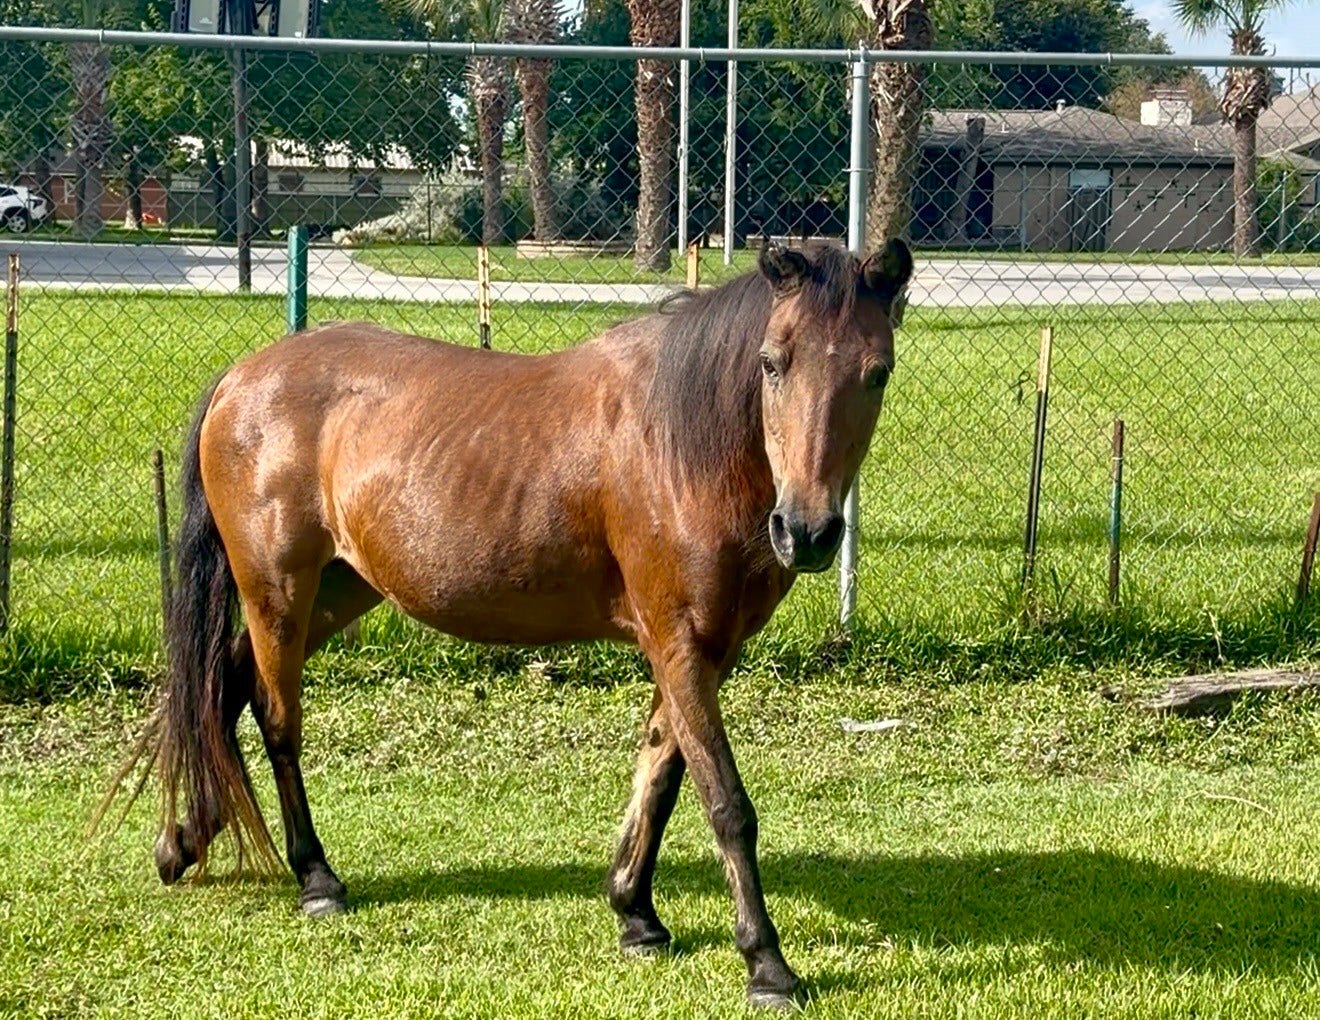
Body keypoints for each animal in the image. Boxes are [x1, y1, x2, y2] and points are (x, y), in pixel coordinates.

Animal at [134, 238, 912, 1009]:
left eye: (878, 371)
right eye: (772, 362)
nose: (806, 531)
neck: (680, 445)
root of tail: (240, 379)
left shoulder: (702, 650)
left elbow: (660, 774)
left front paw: (636, 913)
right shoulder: (681, 642)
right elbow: (725, 804)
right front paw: (767, 964)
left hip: (339, 589)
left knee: (226, 684)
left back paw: (185, 840)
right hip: (278, 591)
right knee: (275, 721)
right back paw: (315, 877)